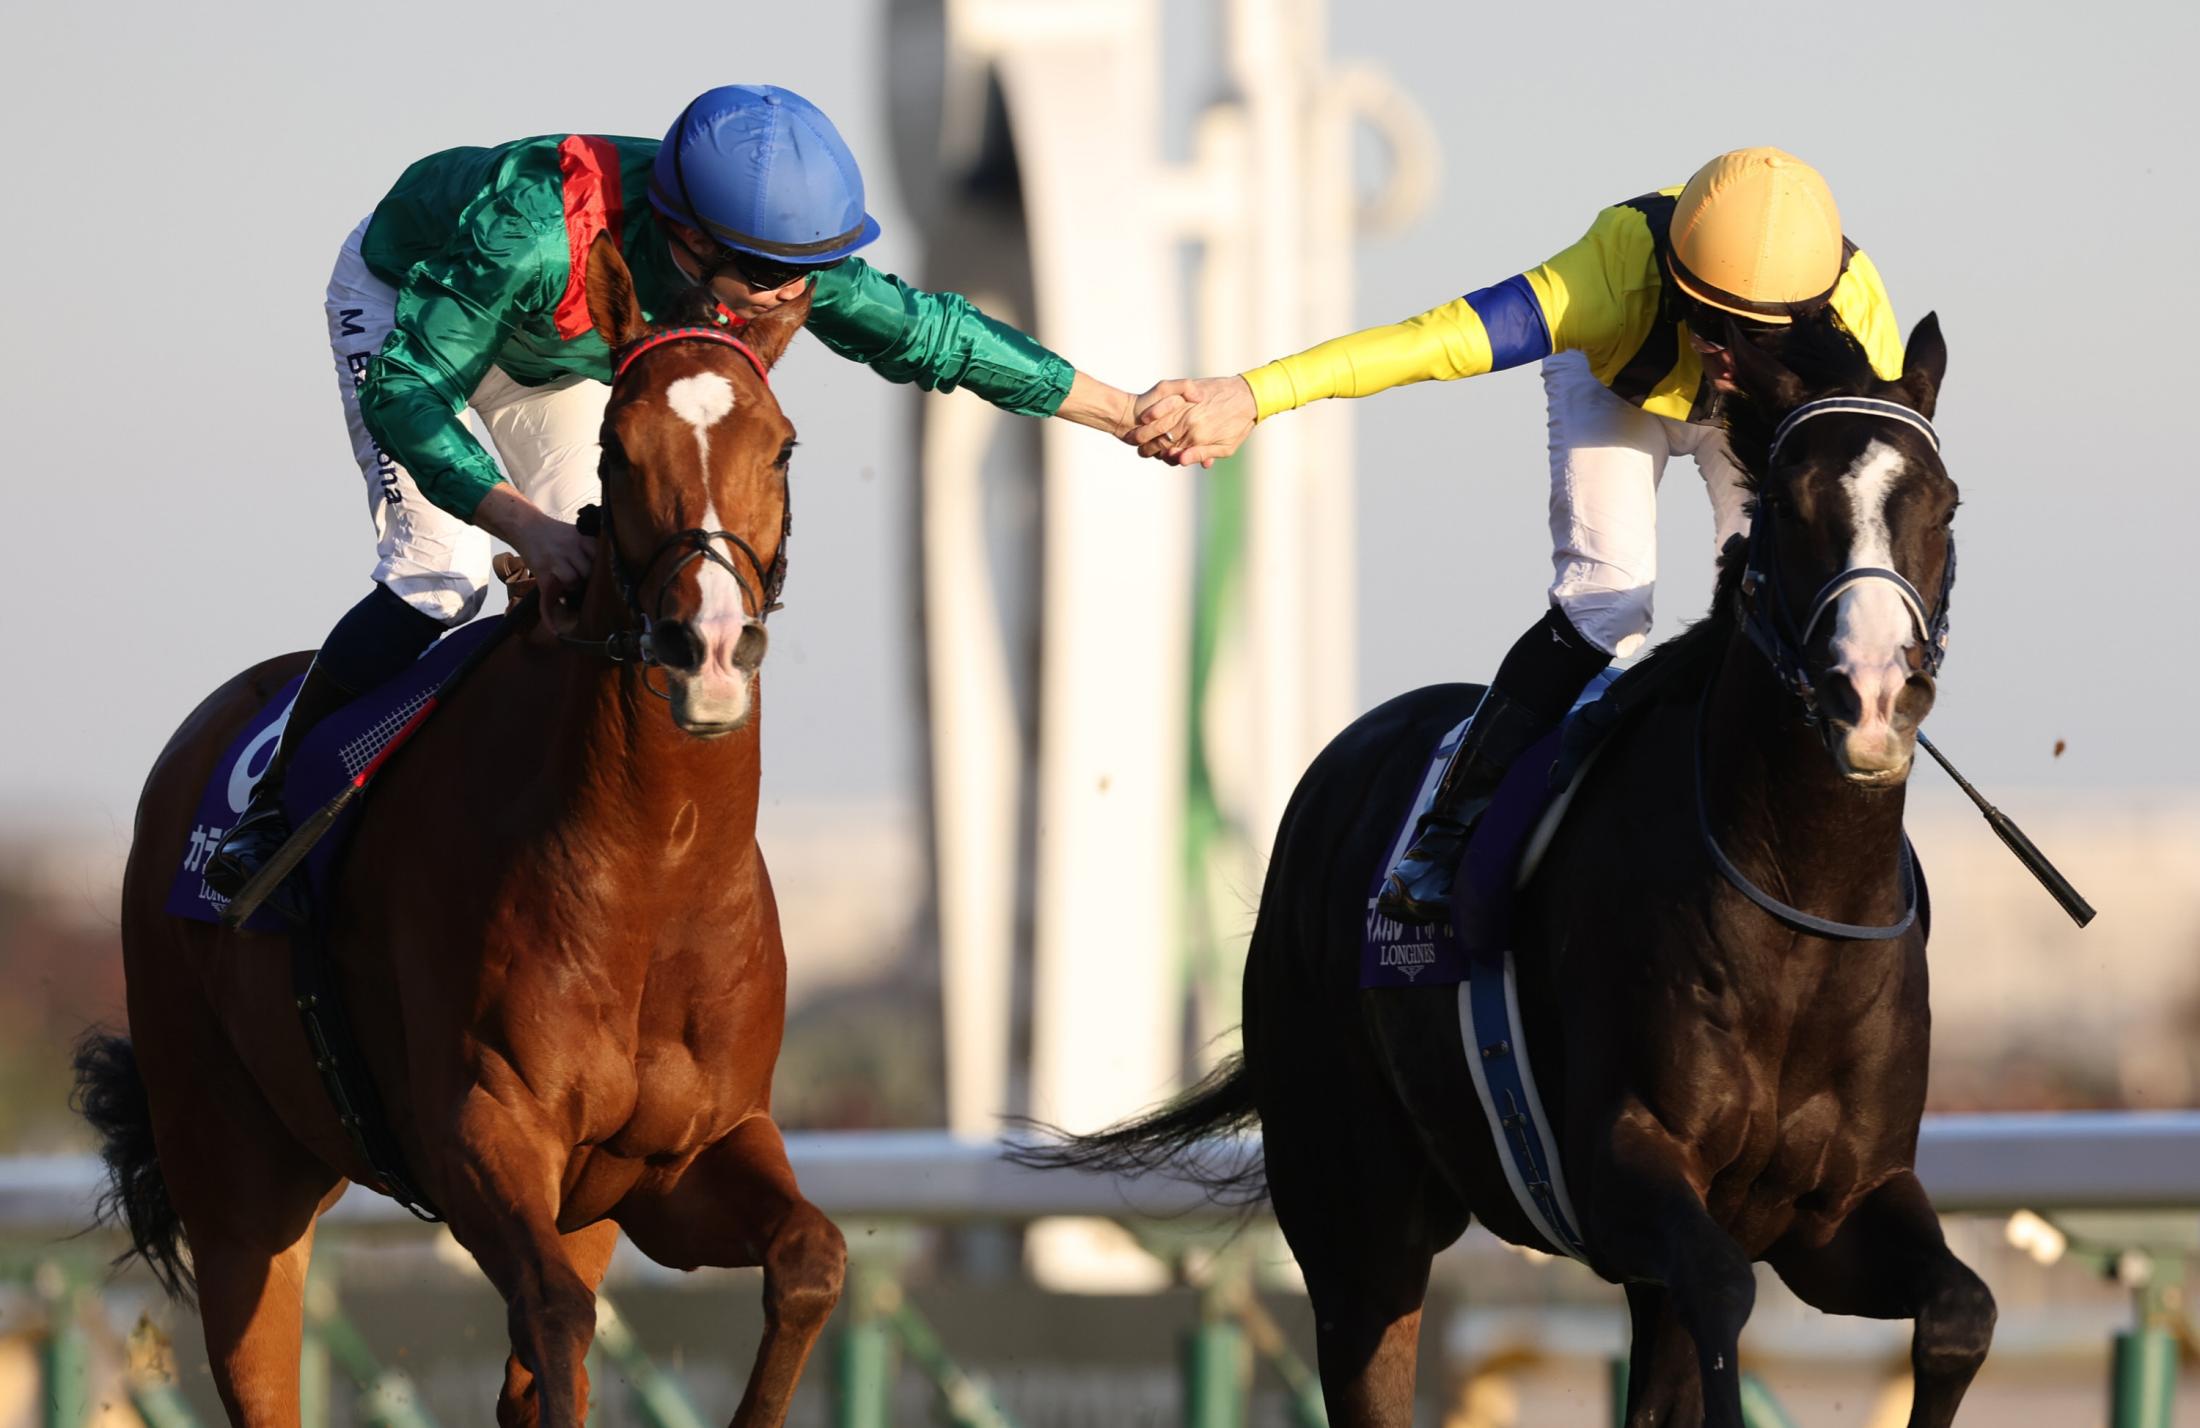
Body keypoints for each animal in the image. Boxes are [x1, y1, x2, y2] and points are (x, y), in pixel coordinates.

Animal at [74, 234, 843, 1428]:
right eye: (617, 451)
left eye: (783, 448)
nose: (708, 647)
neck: (656, 865)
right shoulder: (478, 1134)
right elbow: (559, 1322)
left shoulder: (678, 1159)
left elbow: (810, 1258)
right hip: (237, 1180)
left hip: (581, 1210)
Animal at [1023, 312, 1993, 1427]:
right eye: (1793, 508)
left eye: (1942, 503)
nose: (1871, 696)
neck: (1799, 901)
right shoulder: (1623, 1174)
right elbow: (1722, 1294)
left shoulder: (1839, 1211)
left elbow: (1960, 1311)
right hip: (1355, 1219)